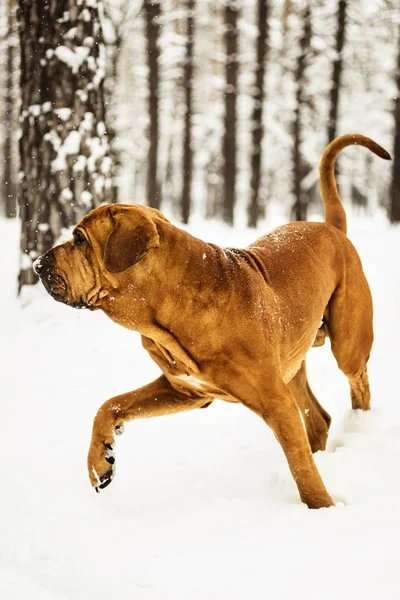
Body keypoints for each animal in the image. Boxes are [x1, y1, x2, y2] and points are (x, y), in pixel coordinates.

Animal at [34, 135, 390, 506]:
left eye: (79, 240)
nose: (38, 265)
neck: (166, 310)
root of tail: (332, 228)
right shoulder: (185, 389)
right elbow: (111, 404)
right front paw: (99, 463)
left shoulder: (276, 402)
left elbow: (300, 465)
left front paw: (321, 507)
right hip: (292, 363)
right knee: (318, 420)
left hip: (347, 343)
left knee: (358, 382)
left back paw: (361, 424)